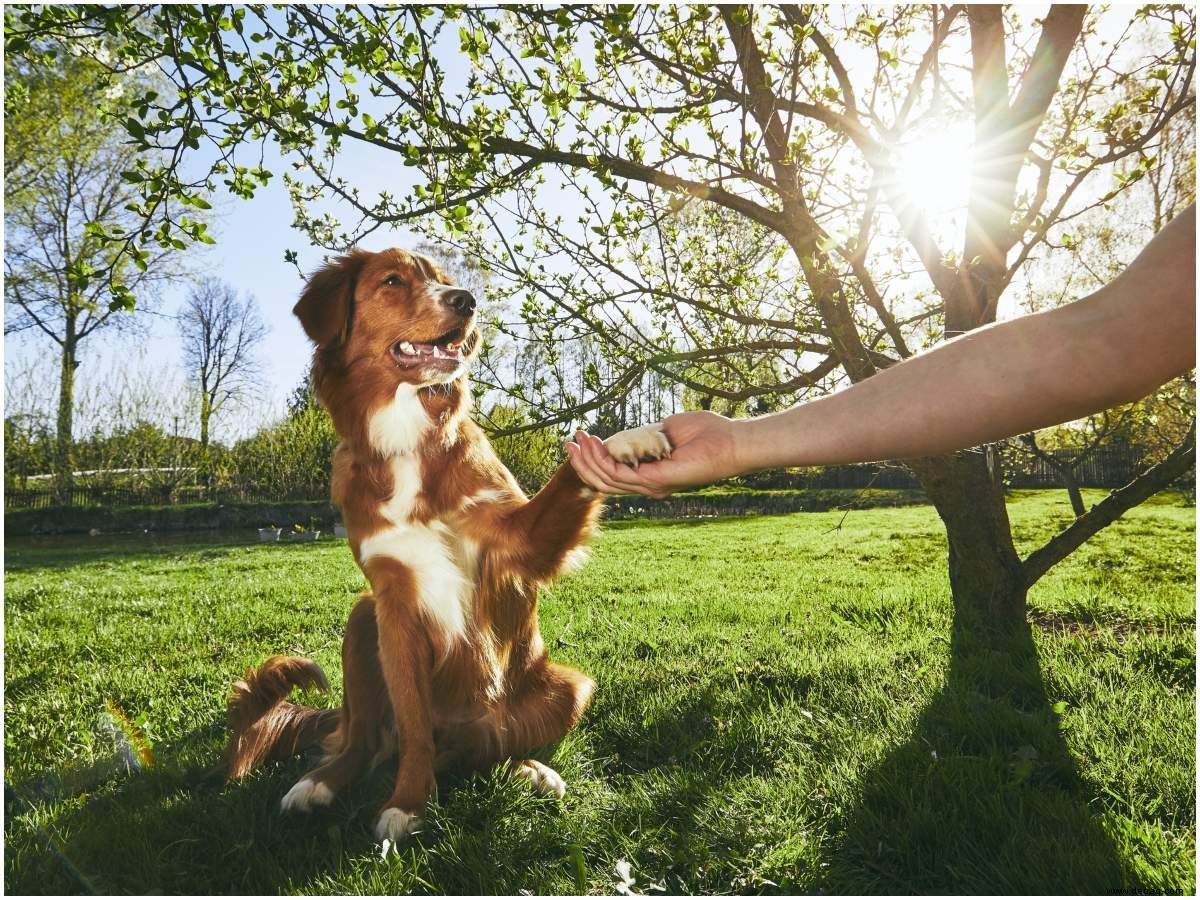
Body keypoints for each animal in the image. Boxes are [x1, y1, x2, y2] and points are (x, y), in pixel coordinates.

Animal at [224, 248, 672, 844]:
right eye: (393, 280)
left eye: (442, 279)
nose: (467, 301)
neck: (407, 437)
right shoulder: (394, 601)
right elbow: (414, 726)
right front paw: (410, 803)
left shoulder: (518, 541)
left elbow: (571, 471)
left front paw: (625, 443)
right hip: (362, 620)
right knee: (366, 740)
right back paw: (318, 783)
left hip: (568, 689)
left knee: (486, 751)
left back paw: (531, 770)